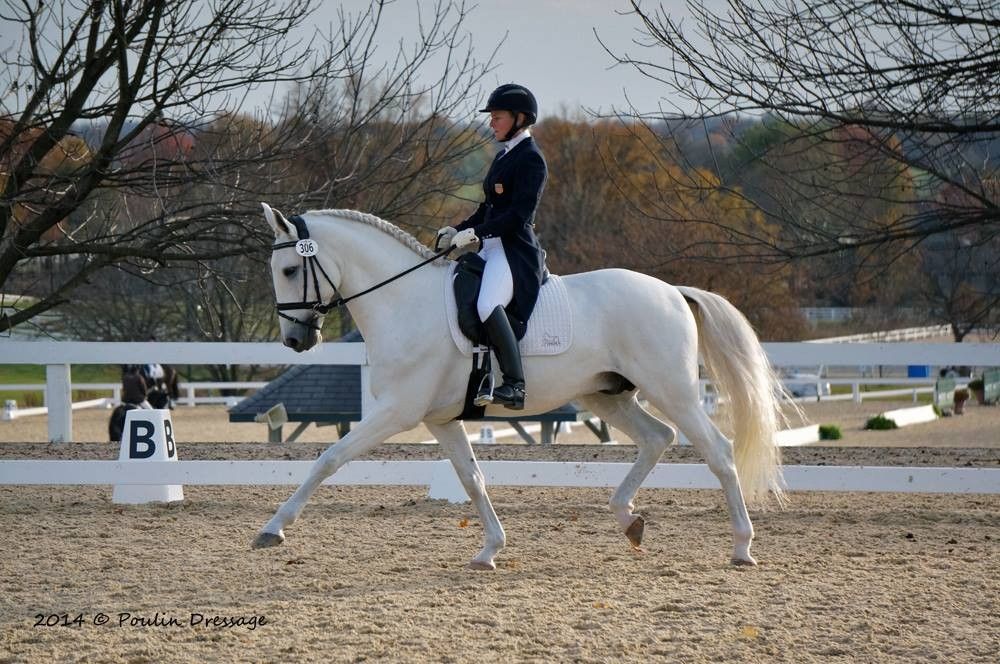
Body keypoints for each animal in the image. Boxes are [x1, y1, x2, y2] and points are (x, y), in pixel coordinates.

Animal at [256, 205, 788, 568]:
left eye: (289, 270)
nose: (295, 340)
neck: (404, 301)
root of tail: (673, 291)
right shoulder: (440, 419)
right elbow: (472, 479)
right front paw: (490, 550)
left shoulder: (397, 411)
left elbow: (329, 459)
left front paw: (273, 529)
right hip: (607, 394)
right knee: (658, 437)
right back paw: (627, 519)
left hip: (671, 389)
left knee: (718, 451)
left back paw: (742, 546)